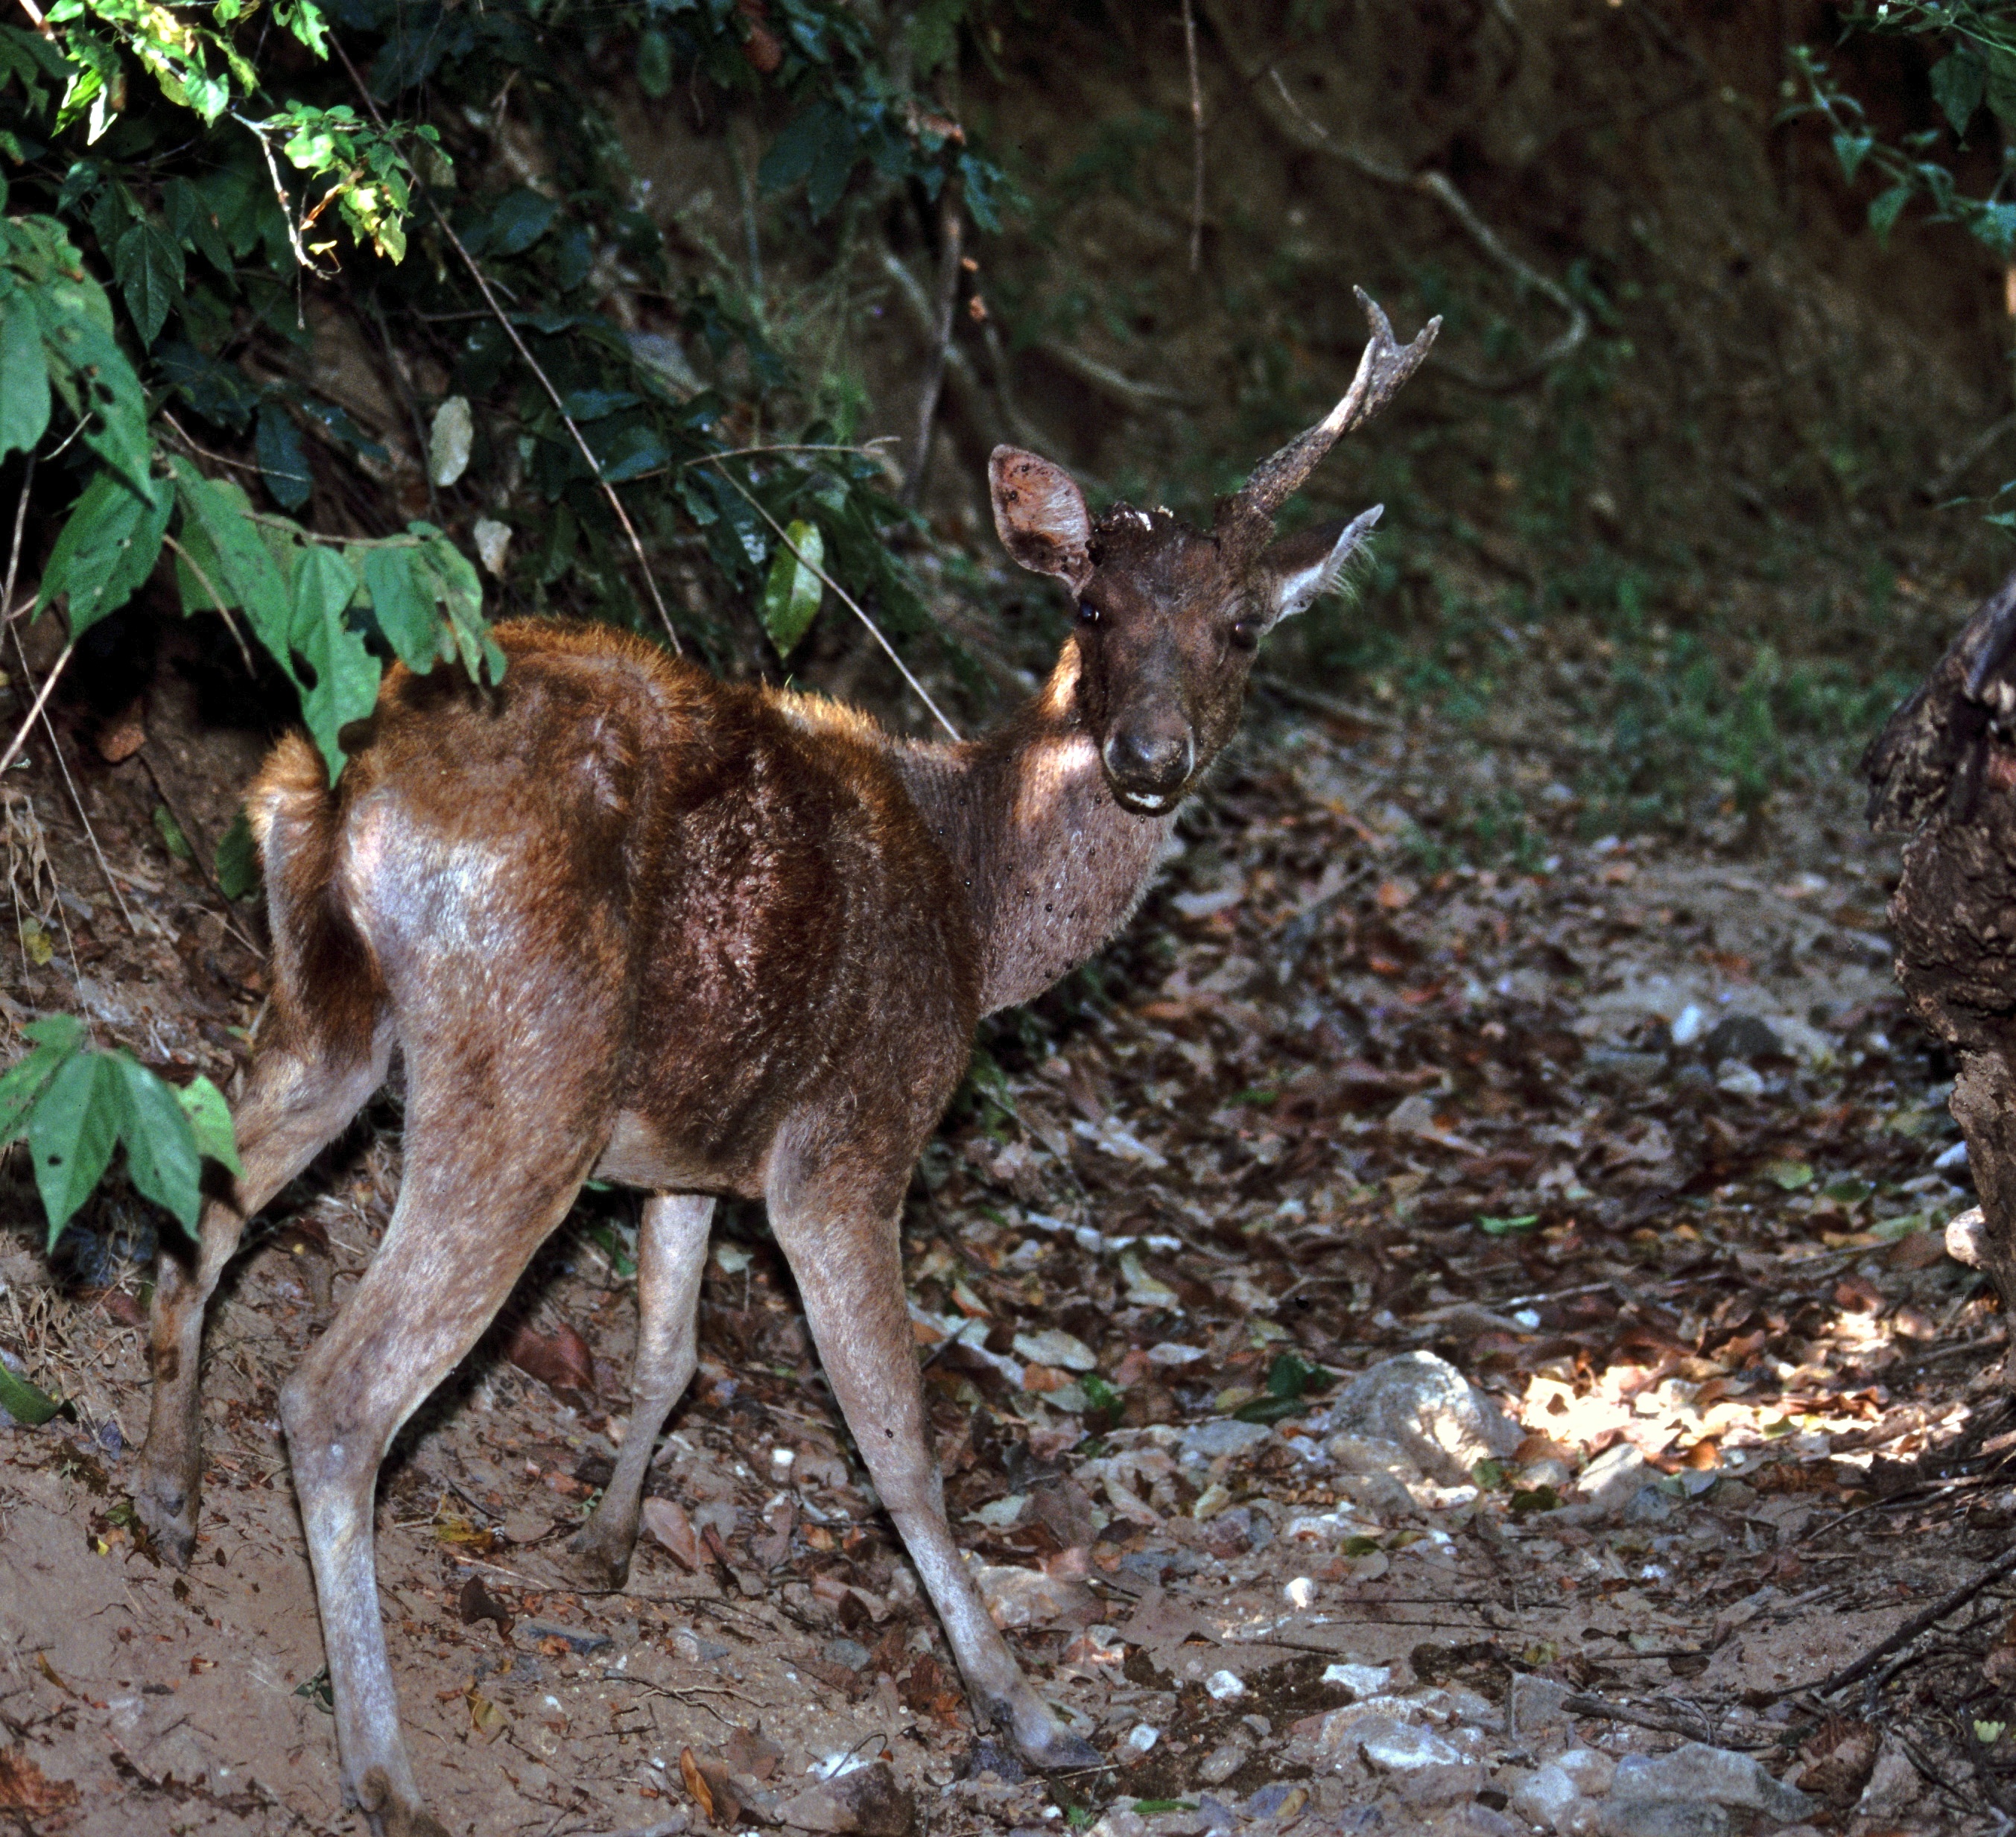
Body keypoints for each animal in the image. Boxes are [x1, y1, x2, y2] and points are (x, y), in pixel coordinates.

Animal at [126, 290, 1435, 1837]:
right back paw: (384, 1770)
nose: (1149, 755)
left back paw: (167, 1496)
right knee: (337, 1396)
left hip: (327, 1010)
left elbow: (670, 1353)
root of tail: (342, 786)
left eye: (1240, 625)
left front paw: (605, 1545)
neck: (980, 911)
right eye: (1092, 607)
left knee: (201, 1204)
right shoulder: (845, 1143)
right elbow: (899, 1439)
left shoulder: (688, 1146)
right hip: (530, 1066)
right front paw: (1030, 1710)